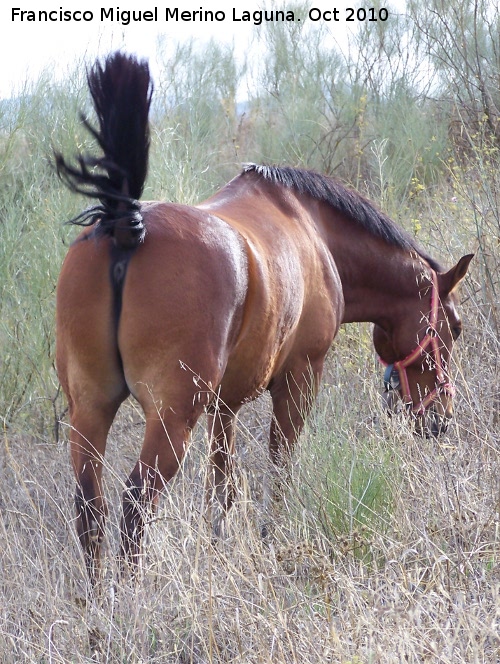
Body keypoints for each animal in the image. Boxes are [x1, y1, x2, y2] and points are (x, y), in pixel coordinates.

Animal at [54, 53, 472, 588]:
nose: (440, 421)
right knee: (135, 501)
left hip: (91, 409)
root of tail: (127, 227)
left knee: (91, 508)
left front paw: (220, 548)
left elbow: (222, 487)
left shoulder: (224, 406)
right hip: (170, 419)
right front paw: (275, 538)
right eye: (453, 329)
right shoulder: (299, 379)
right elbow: (280, 466)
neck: (315, 230)